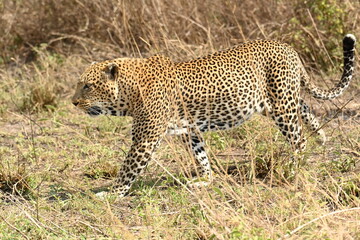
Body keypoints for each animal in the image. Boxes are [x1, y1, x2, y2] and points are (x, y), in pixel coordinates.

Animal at [71, 34, 356, 199]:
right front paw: (205, 180)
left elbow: (128, 169)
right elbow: (200, 156)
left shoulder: (145, 139)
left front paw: (111, 194)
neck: (129, 90)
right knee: (305, 108)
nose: (73, 102)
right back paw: (321, 138)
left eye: (87, 86)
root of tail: (288, 47)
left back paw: (294, 168)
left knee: (298, 139)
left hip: (281, 106)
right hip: (279, 100)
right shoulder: (189, 130)